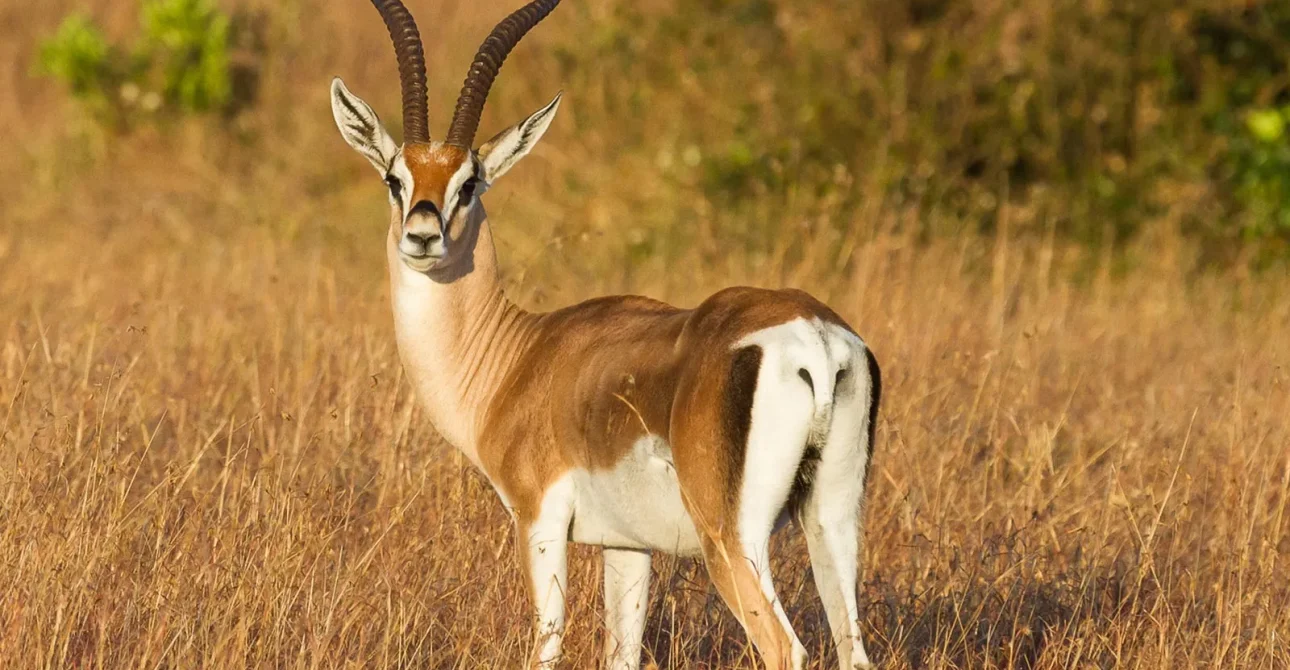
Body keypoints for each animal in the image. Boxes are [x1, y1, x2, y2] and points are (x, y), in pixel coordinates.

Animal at [327, 2, 882, 666]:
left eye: (470, 181)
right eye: (395, 177)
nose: (422, 235)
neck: (515, 361)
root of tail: (815, 335)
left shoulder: (538, 521)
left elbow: (546, 644)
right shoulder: (627, 546)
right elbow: (622, 652)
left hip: (731, 539)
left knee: (785, 648)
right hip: (832, 520)